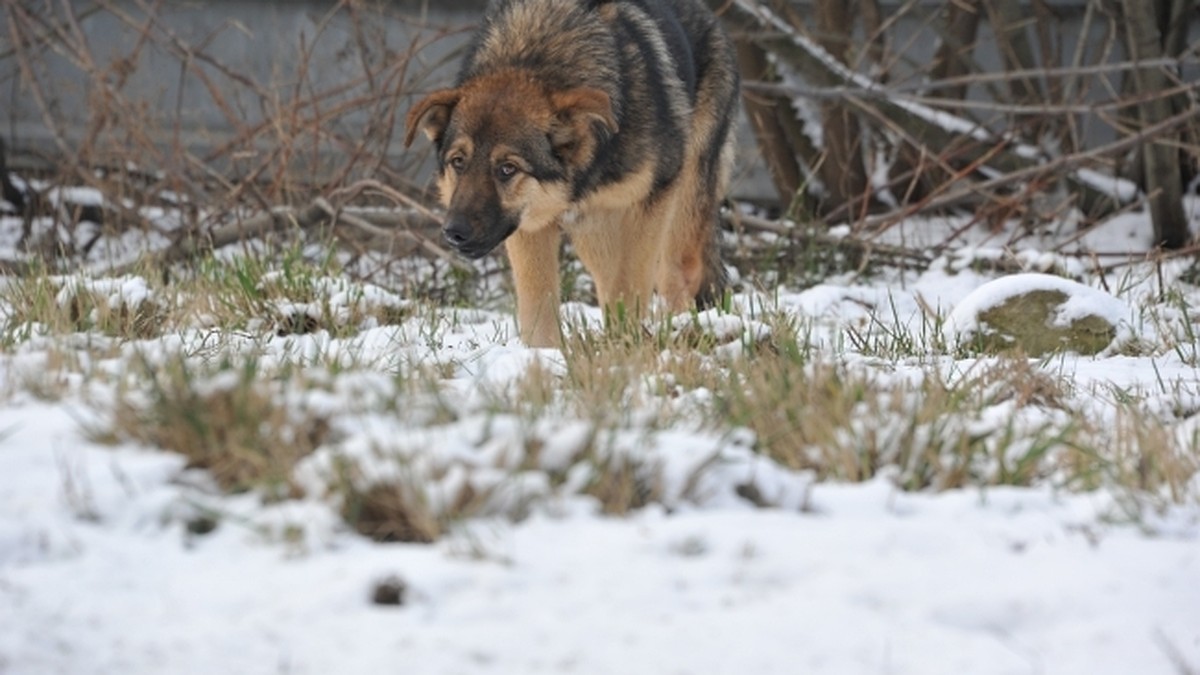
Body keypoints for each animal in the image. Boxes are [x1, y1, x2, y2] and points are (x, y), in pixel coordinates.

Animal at [408, 0, 734, 345]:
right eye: (458, 162)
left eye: (507, 169)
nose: (454, 233)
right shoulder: (530, 225)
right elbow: (538, 306)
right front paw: (545, 356)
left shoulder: (650, 203)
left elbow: (631, 283)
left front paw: (628, 346)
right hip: (596, 234)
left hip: (678, 222)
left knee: (677, 275)